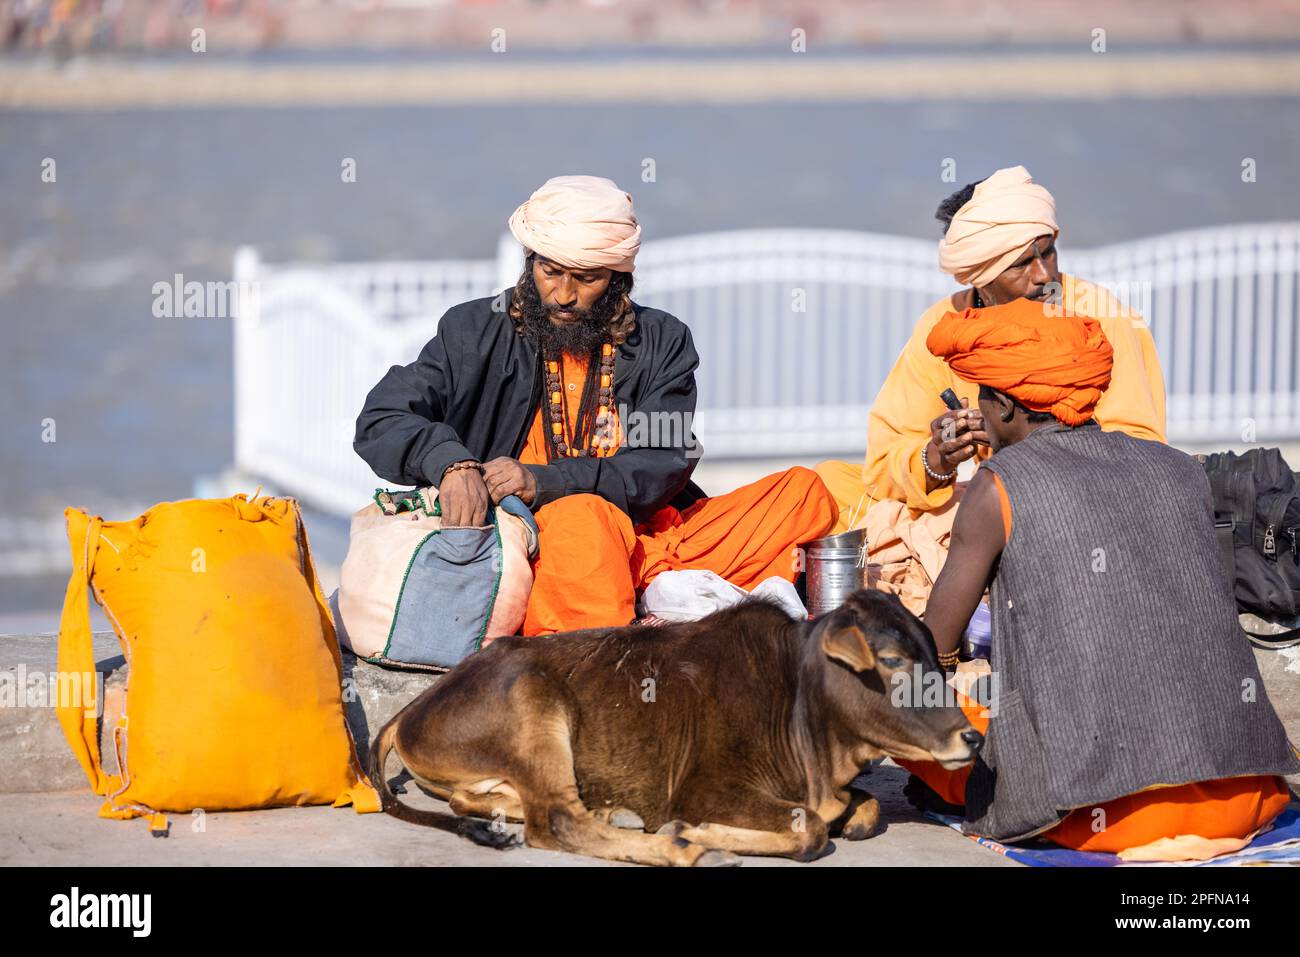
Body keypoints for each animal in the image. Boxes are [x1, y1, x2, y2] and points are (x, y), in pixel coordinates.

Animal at [366, 587, 977, 863]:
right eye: (891, 661)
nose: (970, 736)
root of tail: (414, 706)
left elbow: (863, 812)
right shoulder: (704, 788)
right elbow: (811, 830)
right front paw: (694, 833)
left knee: (486, 802)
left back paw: (614, 813)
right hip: (536, 704)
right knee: (557, 822)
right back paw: (678, 848)